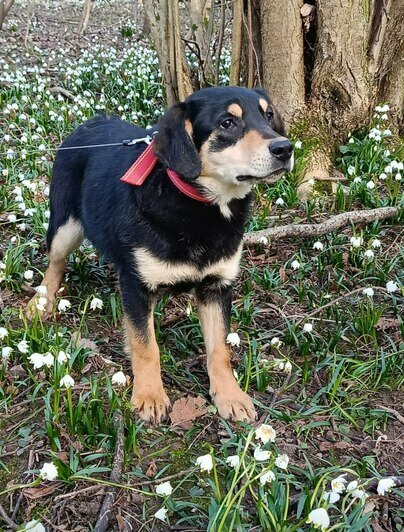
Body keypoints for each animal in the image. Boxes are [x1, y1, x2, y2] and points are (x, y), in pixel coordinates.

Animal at [28, 85, 294, 422]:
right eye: (227, 123)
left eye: (268, 115)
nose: (285, 148)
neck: (201, 207)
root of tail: (89, 123)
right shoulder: (136, 287)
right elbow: (145, 346)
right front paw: (150, 395)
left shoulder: (217, 287)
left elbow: (220, 348)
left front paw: (229, 395)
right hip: (65, 225)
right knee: (55, 262)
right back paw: (41, 302)